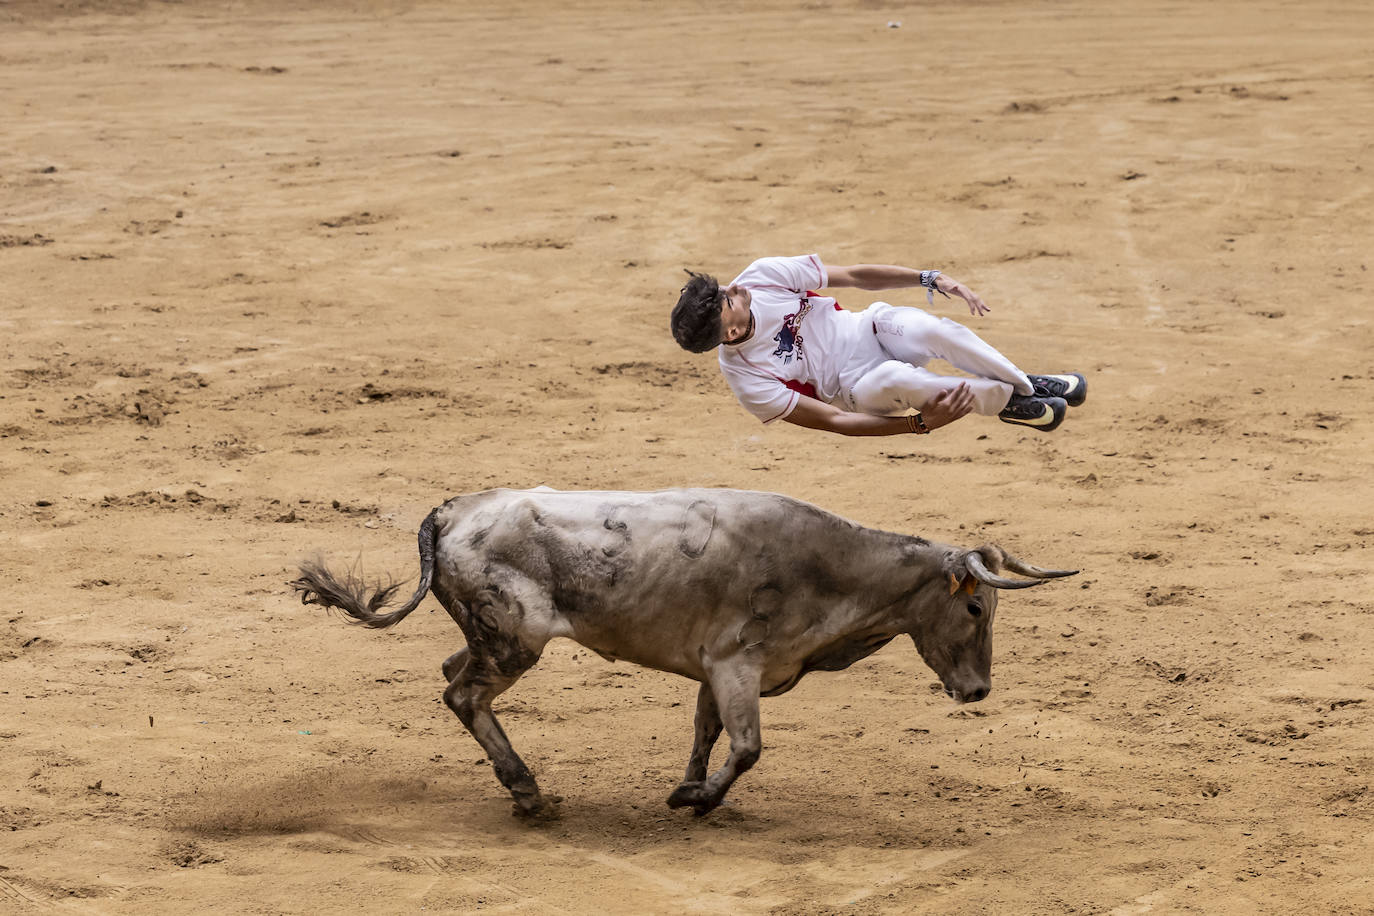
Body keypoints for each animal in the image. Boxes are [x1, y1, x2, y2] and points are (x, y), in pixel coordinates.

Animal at [295, 486, 1077, 818]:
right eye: (975, 606)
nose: (978, 691)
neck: (831, 568)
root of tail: (450, 511)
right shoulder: (738, 665)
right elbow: (749, 747)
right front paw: (696, 800)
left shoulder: (717, 670)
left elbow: (707, 732)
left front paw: (688, 789)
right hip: (514, 643)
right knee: (463, 693)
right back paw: (529, 794)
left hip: (493, 640)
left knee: (455, 679)